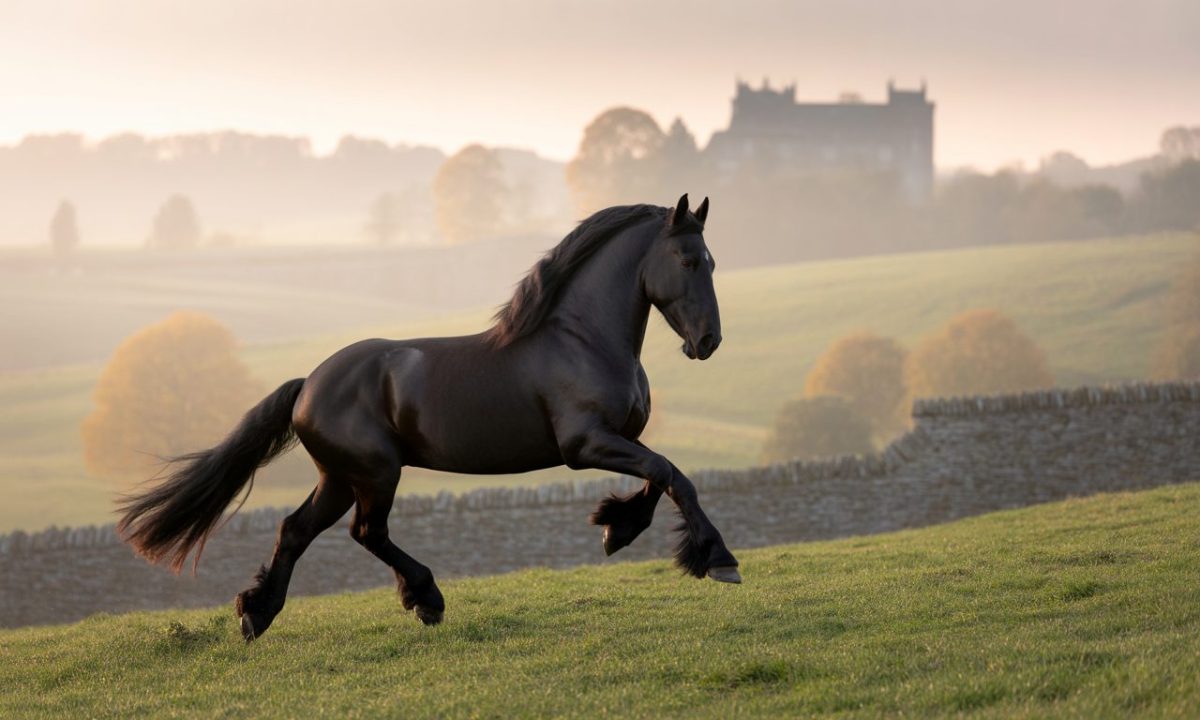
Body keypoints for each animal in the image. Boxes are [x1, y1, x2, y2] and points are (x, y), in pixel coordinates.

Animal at [117, 193, 740, 641]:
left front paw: (616, 527)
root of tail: (307, 386)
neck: (582, 340)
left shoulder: (620, 438)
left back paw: (256, 615)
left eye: (713, 262)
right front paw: (718, 560)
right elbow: (672, 474)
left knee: (296, 529)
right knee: (366, 531)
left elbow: (660, 479)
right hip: (375, 473)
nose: (709, 342)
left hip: (339, 477)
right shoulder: (585, 445)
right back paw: (425, 599)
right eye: (687, 260)